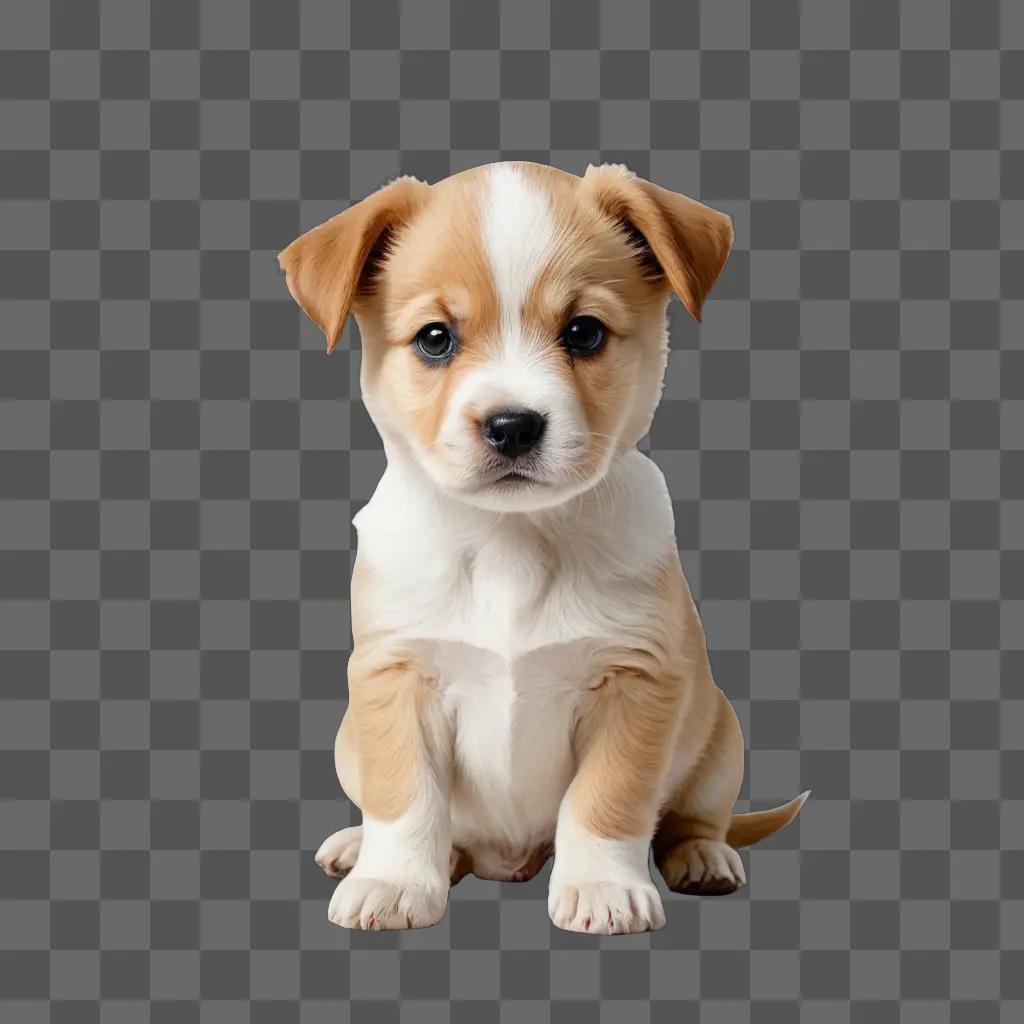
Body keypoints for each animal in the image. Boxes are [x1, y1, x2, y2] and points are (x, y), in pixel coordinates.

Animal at [280, 161, 806, 937]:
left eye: (583, 332)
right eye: (435, 338)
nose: (513, 426)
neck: (510, 543)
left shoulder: (635, 684)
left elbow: (606, 801)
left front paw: (601, 887)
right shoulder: (395, 678)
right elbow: (405, 797)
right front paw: (394, 882)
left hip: (718, 741)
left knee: (690, 819)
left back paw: (704, 857)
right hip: (350, 741)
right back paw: (362, 847)